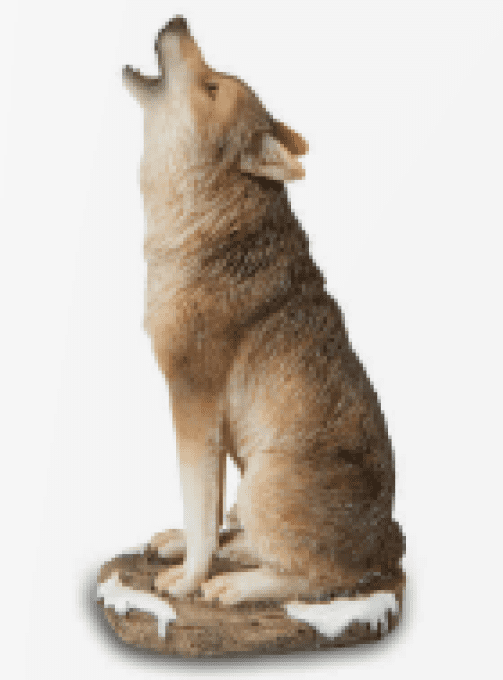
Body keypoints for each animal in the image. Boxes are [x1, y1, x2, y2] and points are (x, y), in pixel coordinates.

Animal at [122, 16, 405, 605]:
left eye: (211, 87)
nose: (177, 20)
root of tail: (387, 542)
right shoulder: (206, 417)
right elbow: (205, 509)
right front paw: (190, 551)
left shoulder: (192, 397)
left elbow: (198, 504)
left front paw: (190, 579)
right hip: (251, 472)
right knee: (261, 540)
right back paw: (229, 553)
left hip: (263, 478)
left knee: (321, 576)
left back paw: (236, 585)